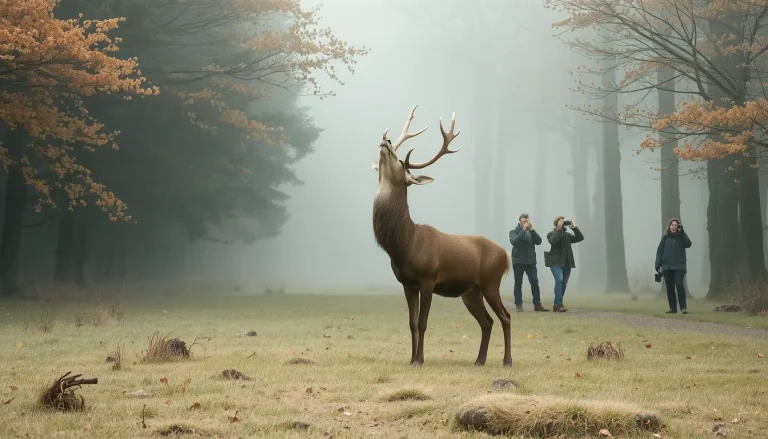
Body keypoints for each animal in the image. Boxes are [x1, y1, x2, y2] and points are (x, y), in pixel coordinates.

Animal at [371, 105, 513, 368]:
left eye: (400, 161)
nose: (386, 141)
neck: (404, 245)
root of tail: (506, 255)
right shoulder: (407, 283)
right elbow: (411, 323)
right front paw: (411, 359)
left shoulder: (428, 278)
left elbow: (423, 323)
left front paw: (419, 360)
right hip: (471, 291)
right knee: (487, 321)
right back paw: (479, 360)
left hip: (491, 282)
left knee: (505, 317)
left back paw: (507, 361)